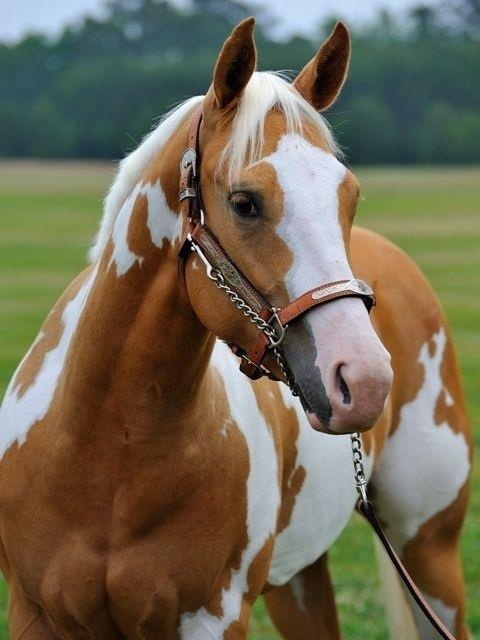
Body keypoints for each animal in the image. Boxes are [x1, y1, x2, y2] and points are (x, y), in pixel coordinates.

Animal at [0, 17, 472, 636]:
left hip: (429, 552)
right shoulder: (34, 611)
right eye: (245, 202)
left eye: (350, 197)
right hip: (300, 579)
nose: (365, 381)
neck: (107, 452)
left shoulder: (213, 617)